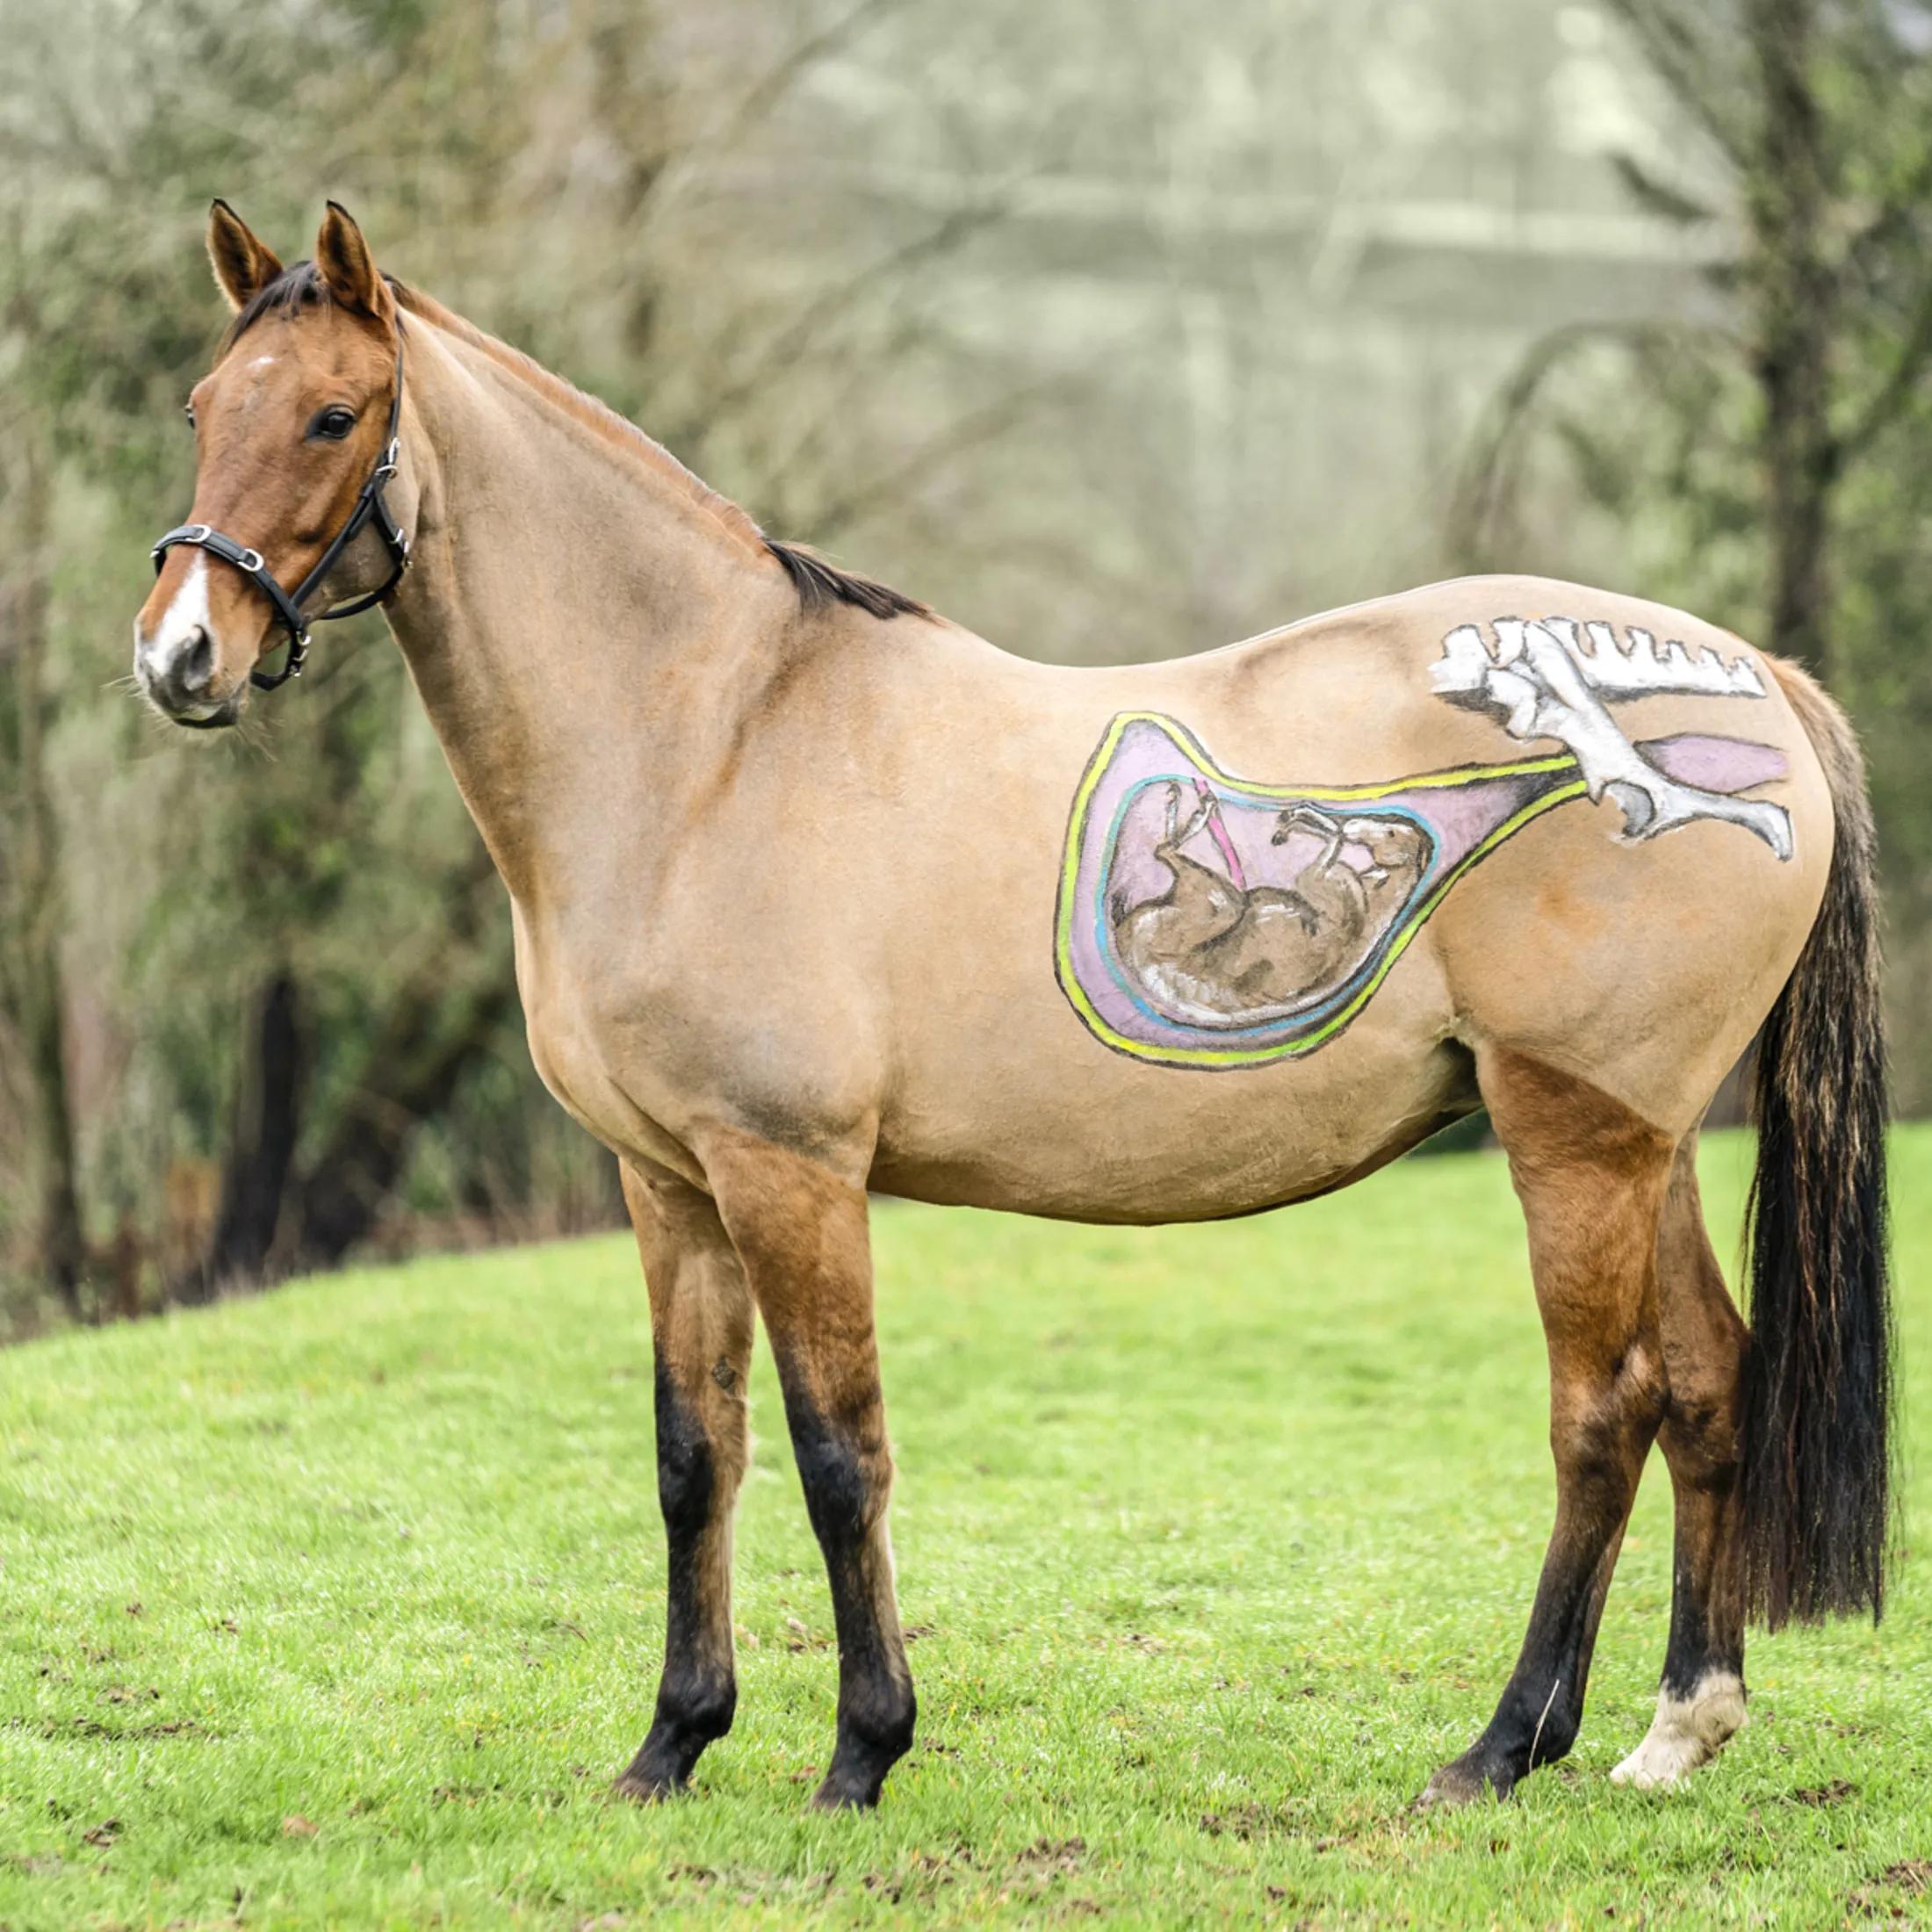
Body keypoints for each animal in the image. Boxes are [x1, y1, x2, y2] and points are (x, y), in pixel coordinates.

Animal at [132, 201, 1890, 1813]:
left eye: (334, 415)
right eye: (206, 409)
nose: (178, 658)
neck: (708, 741)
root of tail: (1760, 683)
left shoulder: (790, 1175)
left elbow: (839, 1456)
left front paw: (861, 1753)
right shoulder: (670, 1185)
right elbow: (697, 1458)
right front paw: (672, 1746)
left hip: (1572, 1141)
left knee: (1605, 1412)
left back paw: (1502, 1748)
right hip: (1644, 1144)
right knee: (1708, 1386)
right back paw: (1677, 1728)